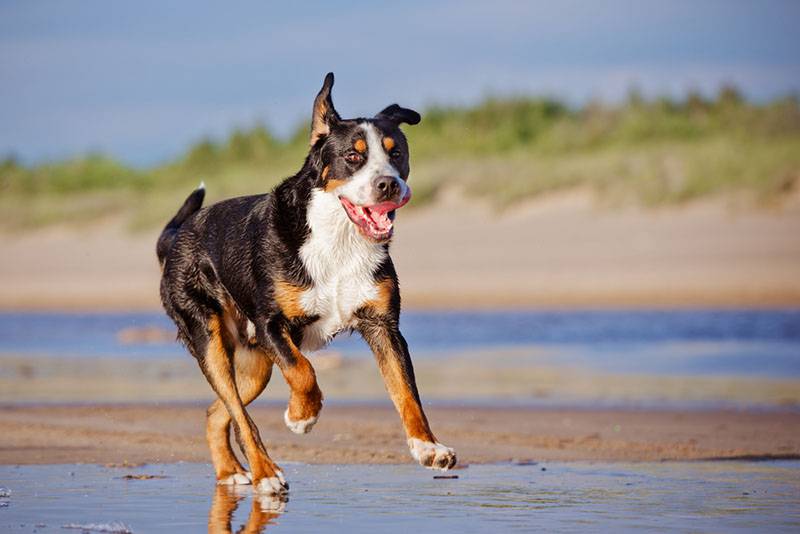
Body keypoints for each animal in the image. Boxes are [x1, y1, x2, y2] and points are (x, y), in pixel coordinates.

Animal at [156, 73, 456, 496]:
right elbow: (304, 371)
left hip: (255, 364)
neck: (338, 240)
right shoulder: (271, 324)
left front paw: (428, 447)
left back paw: (230, 471)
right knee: (238, 413)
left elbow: (406, 393)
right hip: (210, 337)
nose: (388, 185)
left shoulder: (384, 327)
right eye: (353, 157)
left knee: (217, 412)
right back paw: (265, 472)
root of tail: (178, 235)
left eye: (396, 154)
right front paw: (302, 416)